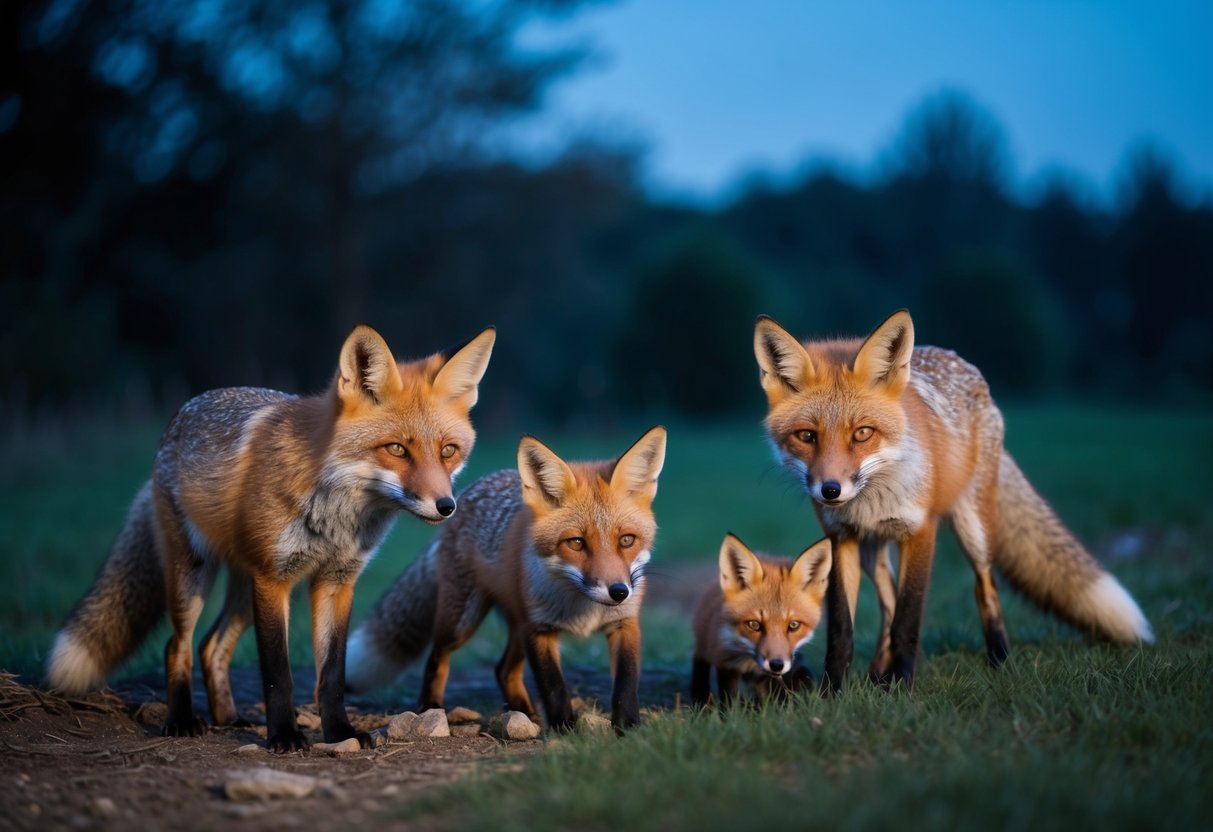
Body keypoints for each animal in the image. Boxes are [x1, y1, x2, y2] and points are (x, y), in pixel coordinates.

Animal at [46, 324, 496, 751]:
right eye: (397, 449)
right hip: (196, 574)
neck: (336, 514)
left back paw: (228, 718)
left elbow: (332, 674)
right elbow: (279, 672)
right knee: (178, 645)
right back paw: (181, 720)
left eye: (449, 451)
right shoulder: (273, 578)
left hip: (248, 593)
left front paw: (339, 732)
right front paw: (283, 736)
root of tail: (178, 420)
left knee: (211, 646)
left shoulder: (336, 581)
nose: (446, 506)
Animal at [346, 426, 667, 733]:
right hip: (462, 622)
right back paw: (431, 708)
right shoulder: (539, 629)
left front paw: (628, 727)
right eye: (576, 543)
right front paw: (565, 729)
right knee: (437, 660)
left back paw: (525, 713)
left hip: (515, 626)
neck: (583, 607)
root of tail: (460, 496)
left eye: (627, 540)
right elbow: (553, 685)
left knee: (503, 670)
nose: (619, 592)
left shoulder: (623, 623)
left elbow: (626, 683)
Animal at [691, 533, 831, 707]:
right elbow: (729, 700)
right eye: (754, 624)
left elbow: (768, 699)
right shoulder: (725, 661)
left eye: (794, 625)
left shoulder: (766, 678)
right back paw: (699, 696)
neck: (748, 661)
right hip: (703, 646)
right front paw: (729, 712)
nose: (777, 665)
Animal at [753, 309, 1153, 693]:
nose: (830, 490)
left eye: (863, 433)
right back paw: (878, 674)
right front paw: (832, 694)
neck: (873, 498)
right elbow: (843, 630)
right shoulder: (842, 537)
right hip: (872, 551)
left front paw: (902, 688)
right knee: (887, 600)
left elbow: (908, 621)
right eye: (807, 436)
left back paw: (998, 661)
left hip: (973, 529)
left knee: (985, 587)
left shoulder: (921, 532)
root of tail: (962, 361)